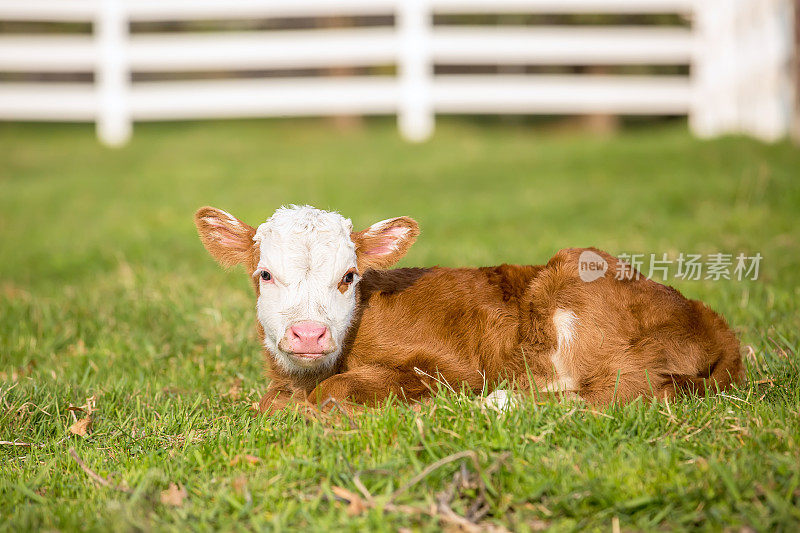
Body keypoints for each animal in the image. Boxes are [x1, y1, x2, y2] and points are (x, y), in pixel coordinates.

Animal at [194, 205, 744, 412]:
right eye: (265, 275)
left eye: (349, 276)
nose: (309, 334)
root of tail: (715, 325)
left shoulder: (452, 367)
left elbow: (336, 391)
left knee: (621, 393)